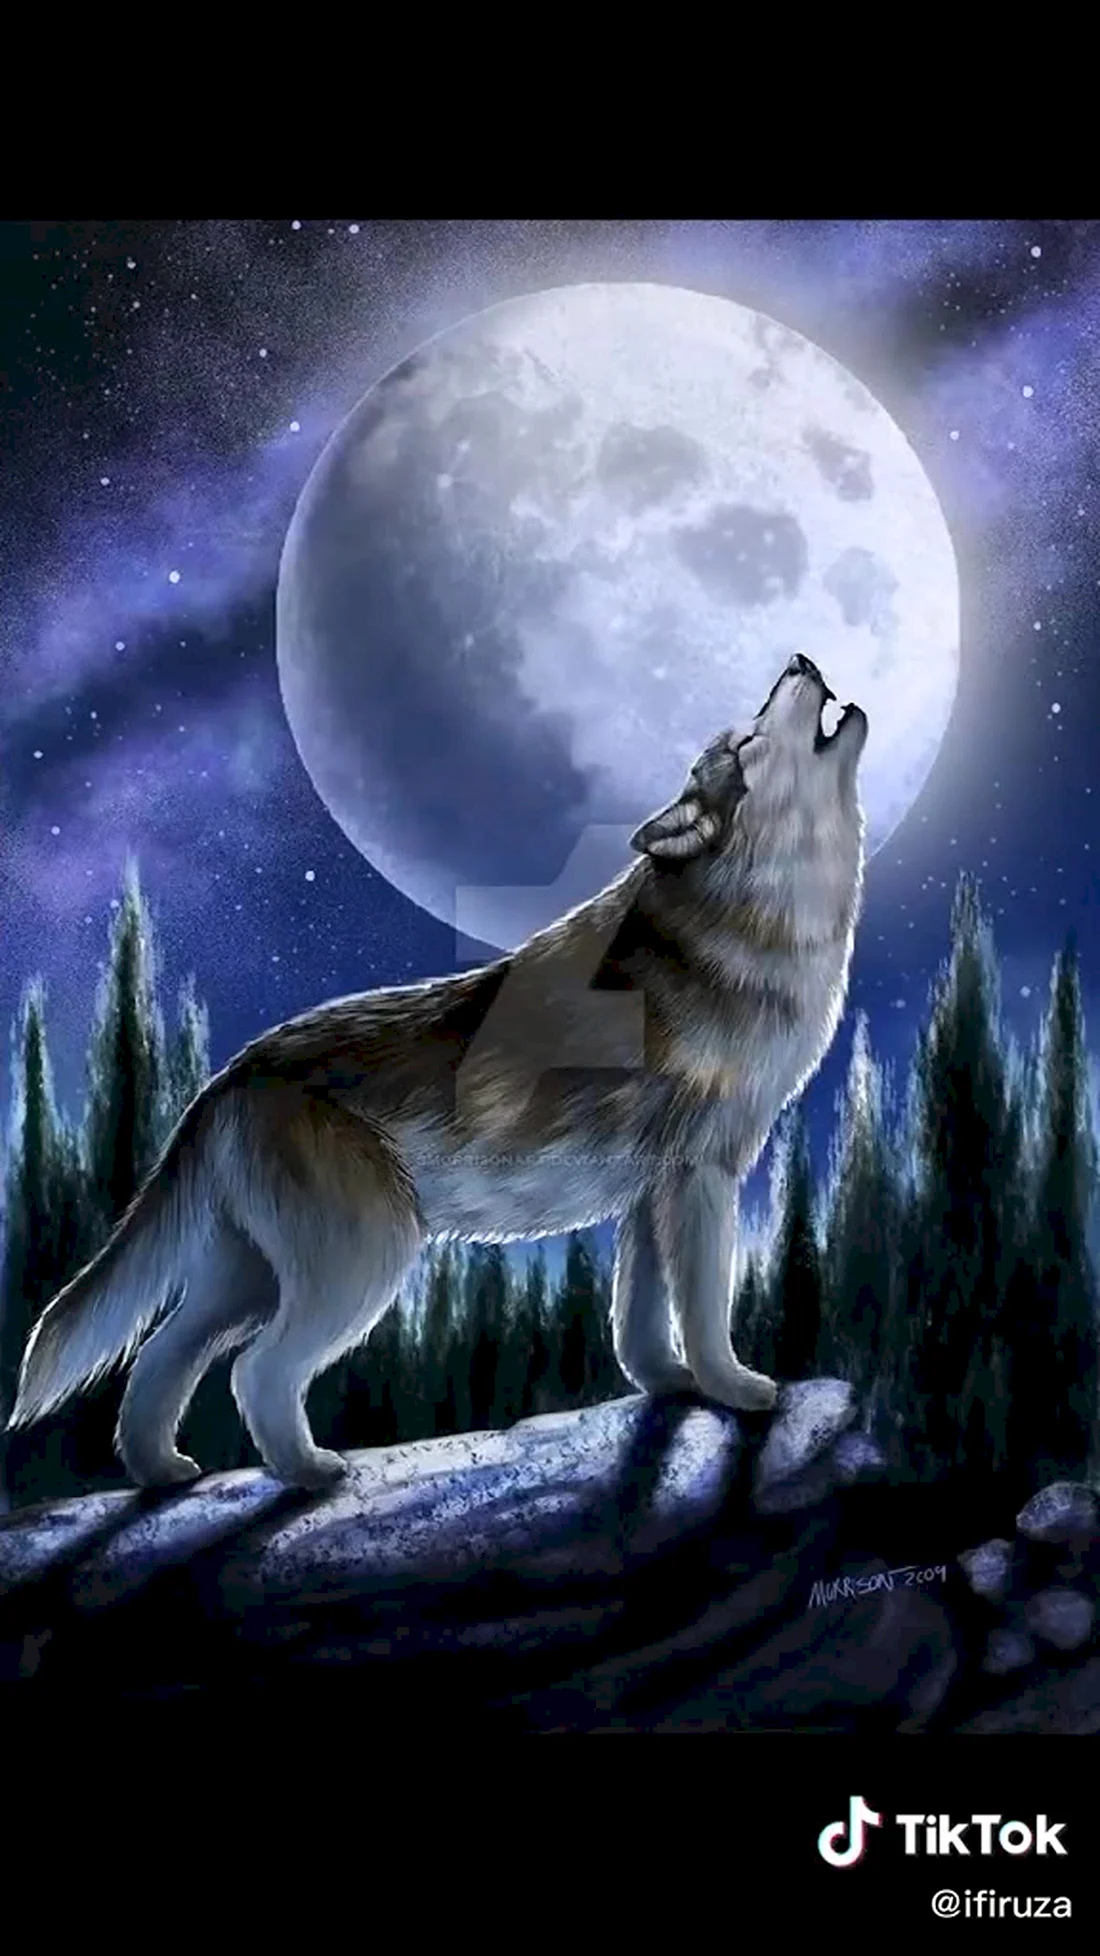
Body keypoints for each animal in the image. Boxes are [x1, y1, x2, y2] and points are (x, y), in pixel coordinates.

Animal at [7, 653, 867, 1492]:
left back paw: (161, 1473)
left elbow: (643, 1318)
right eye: (749, 737)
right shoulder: (703, 1177)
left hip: (245, 1279)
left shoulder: (654, 1189)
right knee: (254, 1371)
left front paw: (672, 1385)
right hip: (364, 1261)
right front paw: (738, 1390)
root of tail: (230, 1075)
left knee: (159, 1359)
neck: (757, 920)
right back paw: (311, 1473)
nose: (799, 657)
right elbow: (706, 1308)